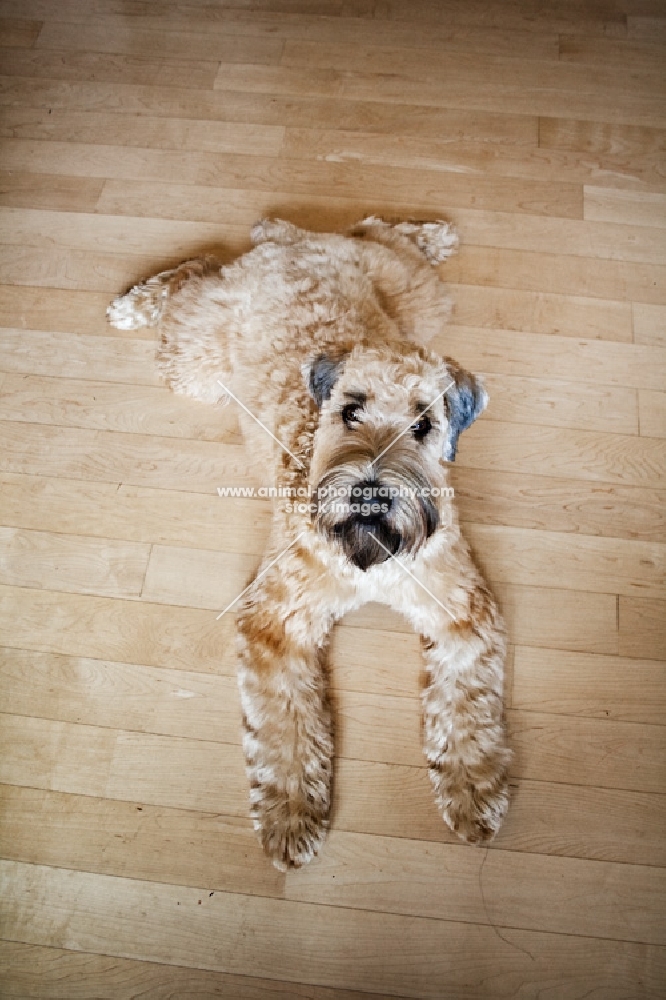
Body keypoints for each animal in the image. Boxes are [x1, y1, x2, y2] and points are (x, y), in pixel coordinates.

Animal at [107, 217, 508, 868]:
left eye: (424, 424)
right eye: (351, 409)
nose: (370, 495)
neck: (369, 557)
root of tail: (286, 243)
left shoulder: (461, 613)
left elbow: (468, 711)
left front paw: (473, 795)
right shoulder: (276, 622)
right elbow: (285, 728)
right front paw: (291, 817)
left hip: (416, 298)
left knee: (375, 230)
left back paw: (436, 234)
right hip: (196, 365)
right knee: (193, 274)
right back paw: (133, 303)